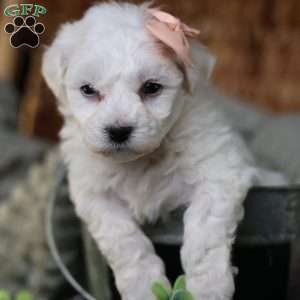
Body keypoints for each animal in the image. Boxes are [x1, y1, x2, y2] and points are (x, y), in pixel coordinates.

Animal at [42, 2, 262, 300]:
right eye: (88, 90)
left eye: (151, 87)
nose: (119, 130)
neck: (143, 158)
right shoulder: (95, 194)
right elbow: (123, 239)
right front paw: (144, 287)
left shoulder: (219, 170)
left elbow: (205, 229)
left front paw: (208, 287)